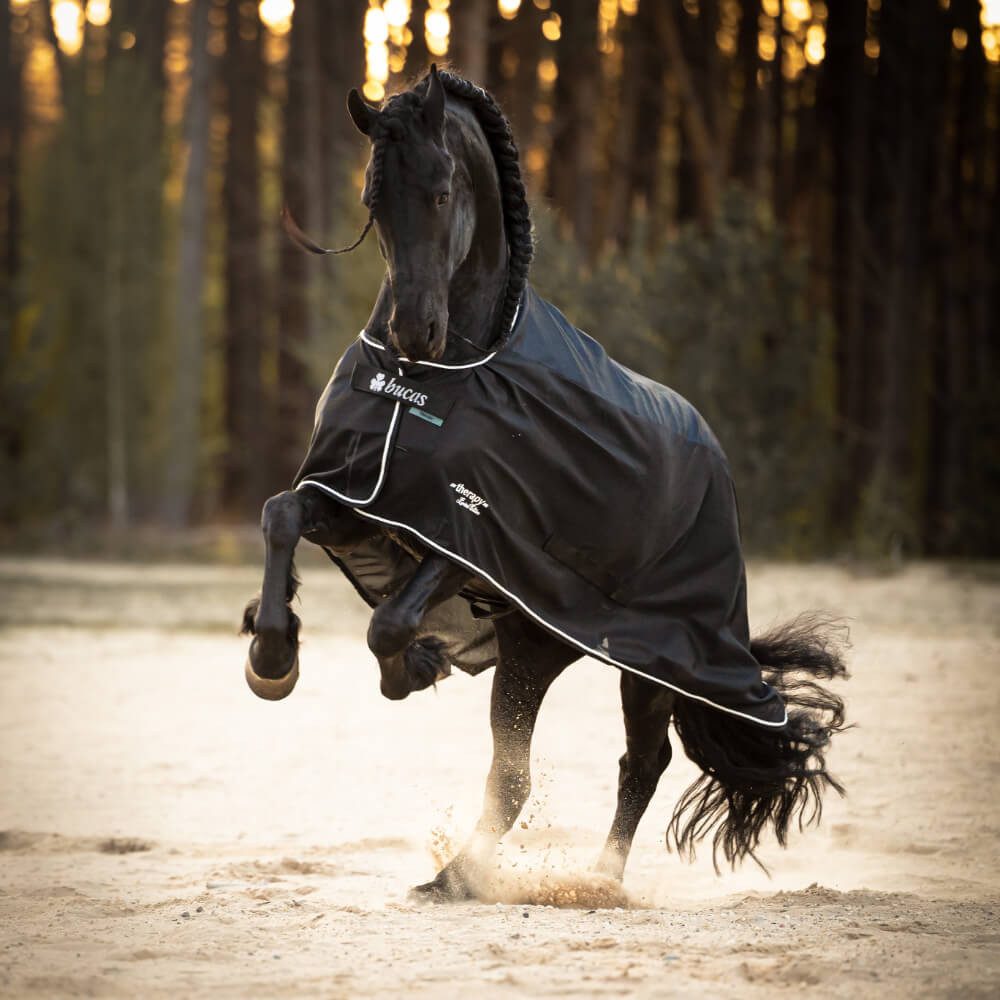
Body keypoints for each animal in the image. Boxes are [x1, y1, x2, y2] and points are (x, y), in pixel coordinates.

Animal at [241, 66, 848, 901]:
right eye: (372, 199)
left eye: (440, 191)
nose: (412, 332)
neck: (443, 377)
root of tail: (713, 461)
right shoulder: (362, 500)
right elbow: (279, 516)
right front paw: (273, 658)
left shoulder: (467, 539)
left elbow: (387, 624)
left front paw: (410, 667)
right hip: (534, 647)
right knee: (516, 775)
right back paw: (458, 877)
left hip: (653, 660)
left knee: (639, 763)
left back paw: (584, 882)